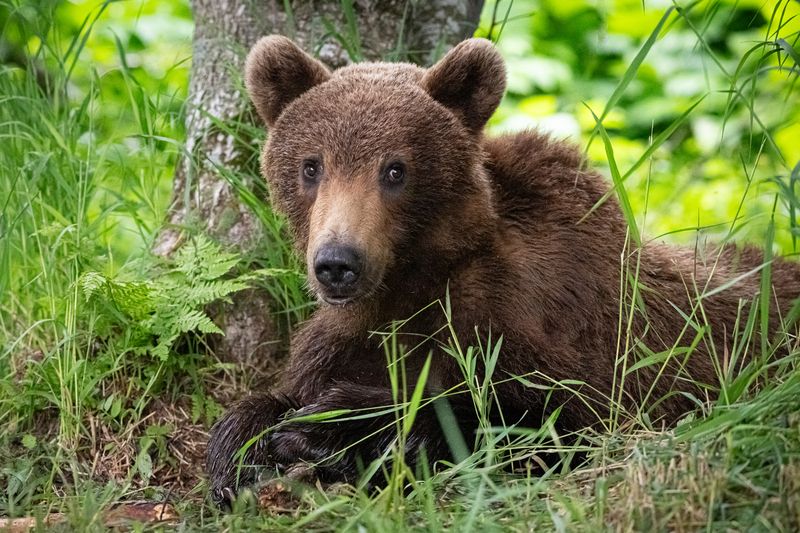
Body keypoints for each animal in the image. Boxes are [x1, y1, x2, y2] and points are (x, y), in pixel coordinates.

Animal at [206, 36, 800, 505]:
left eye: (395, 170)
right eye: (312, 166)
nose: (337, 264)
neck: (412, 281)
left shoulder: (555, 323)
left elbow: (539, 416)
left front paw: (325, 428)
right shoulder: (349, 336)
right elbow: (280, 392)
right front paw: (239, 450)